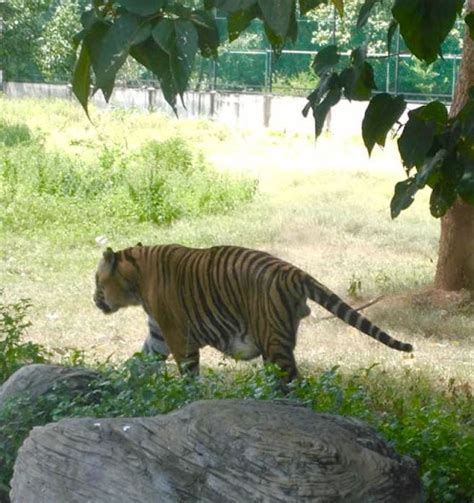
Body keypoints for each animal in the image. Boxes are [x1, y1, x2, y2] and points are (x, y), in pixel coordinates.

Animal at [94, 246, 412, 384]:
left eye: (97, 281)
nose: (95, 300)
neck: (136, 278)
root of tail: (293, 271)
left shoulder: (177, 335)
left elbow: (188, 372)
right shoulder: (158, 334)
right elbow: (140, 361)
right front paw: (121, 384)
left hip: (273, 342)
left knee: (293, 381)